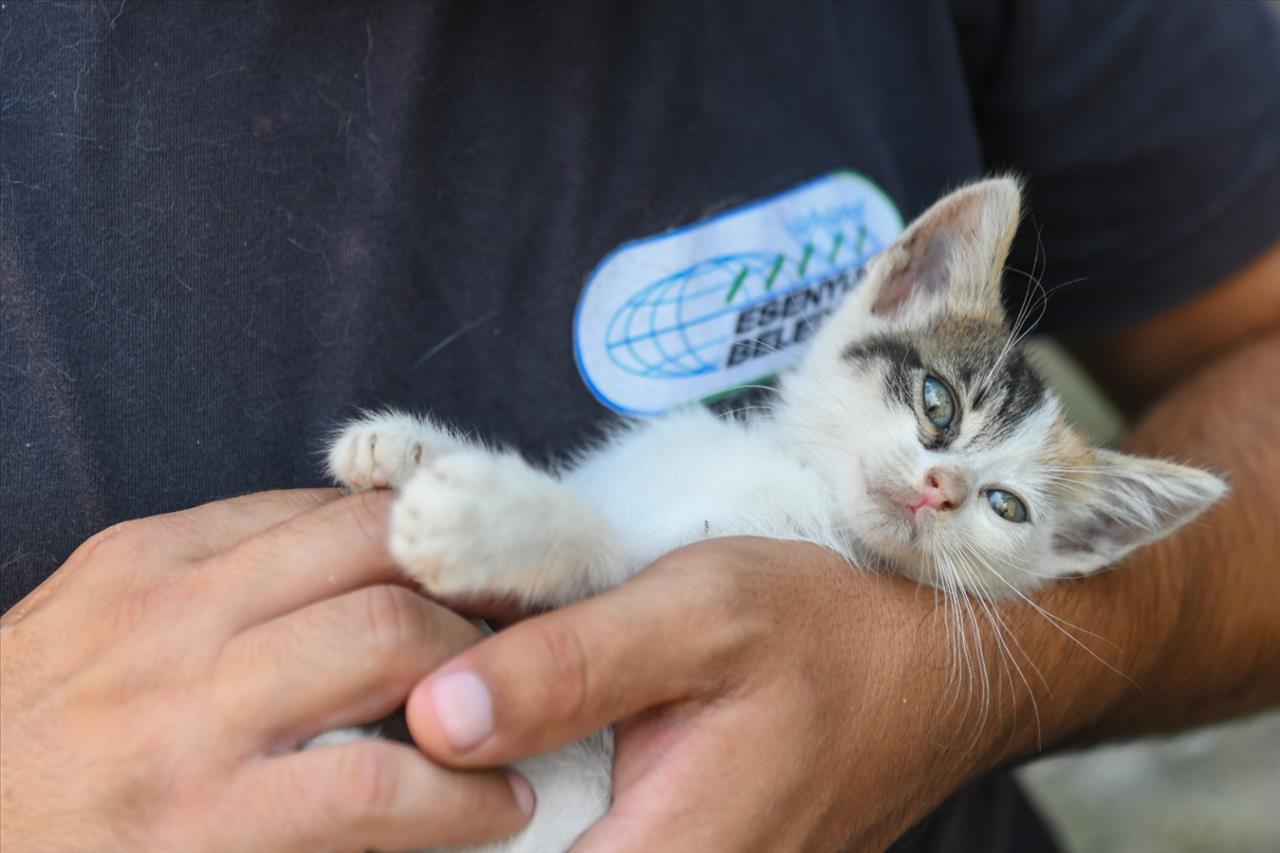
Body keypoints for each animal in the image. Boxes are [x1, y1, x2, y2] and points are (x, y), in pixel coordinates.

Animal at [317, 175, 1218, 845]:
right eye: (938, 403)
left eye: (1006, 506)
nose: (943, 487)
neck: (798, 481)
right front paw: (408, 448)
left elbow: (604, 548)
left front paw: (488, 519)